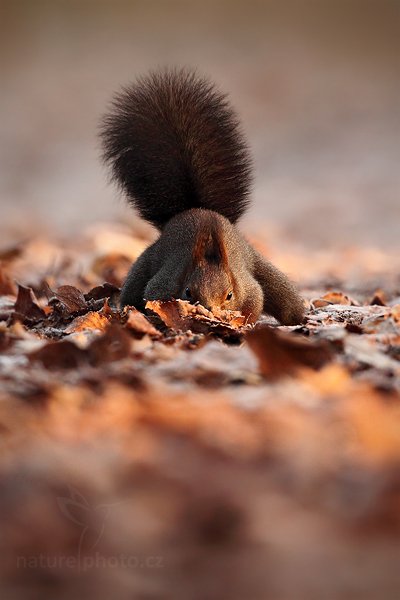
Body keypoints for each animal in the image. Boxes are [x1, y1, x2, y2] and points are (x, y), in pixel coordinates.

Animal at [100, 68, 304, 326]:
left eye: (229, 295)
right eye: (188, 292)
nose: (209, 309)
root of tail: (195, 208)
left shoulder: (248, 288)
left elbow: (255, 302)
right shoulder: (165, 281)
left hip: (261, 266)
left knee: (285, 300)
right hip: (146, 262)